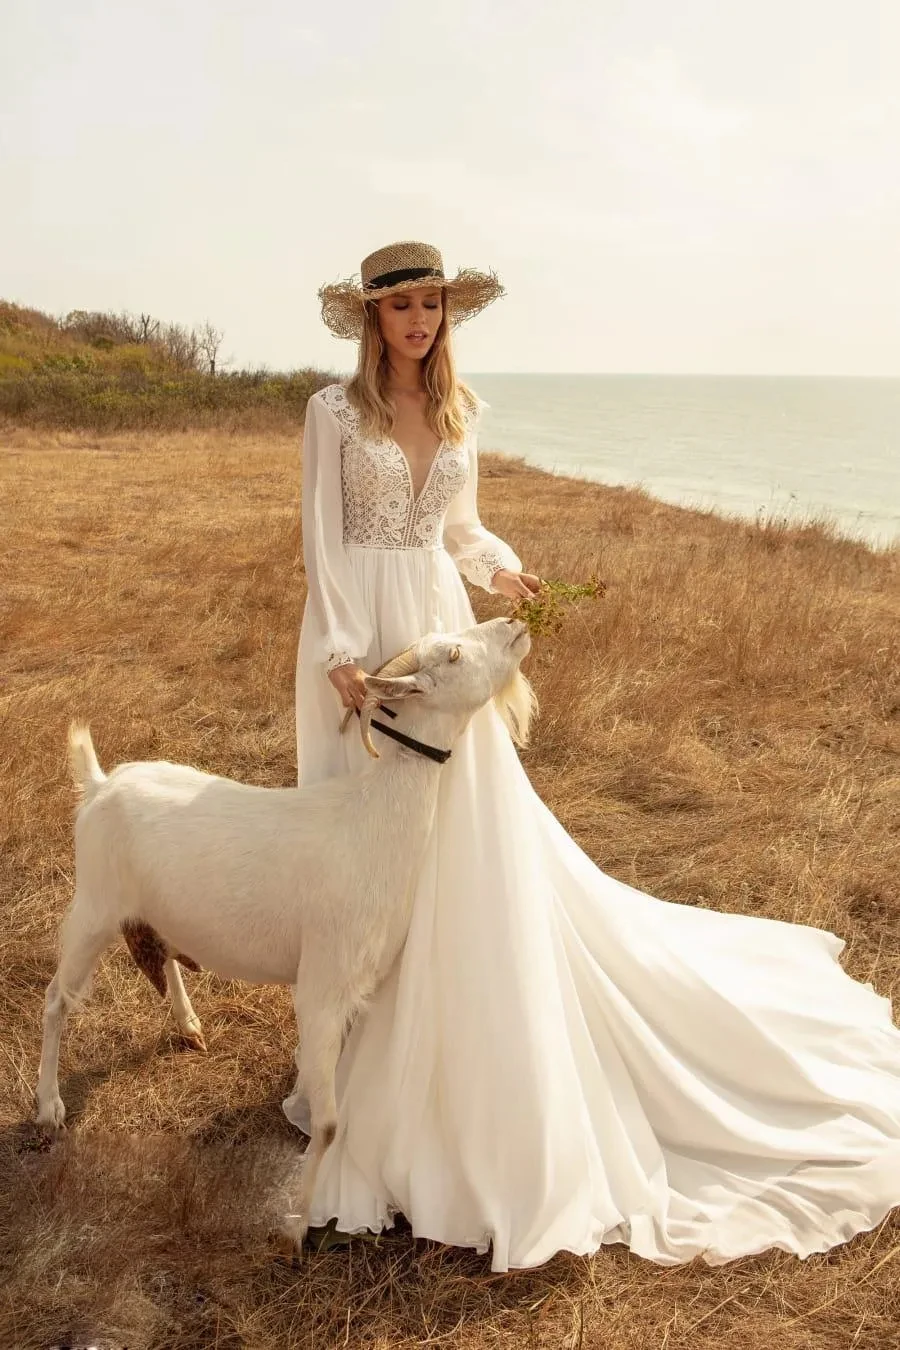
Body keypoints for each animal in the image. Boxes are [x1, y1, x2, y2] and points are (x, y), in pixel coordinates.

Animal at [36, 618, 534, 1236]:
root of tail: (100, 784)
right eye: (453, 654)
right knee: (56, 999)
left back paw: (188, 1024)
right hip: (94, 908)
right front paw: (297, 1223)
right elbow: (329, 1124)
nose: (515, 626)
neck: (373, 818)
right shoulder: (321, 986)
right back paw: (49, 1108)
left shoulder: (353, 990)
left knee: (164, 956)